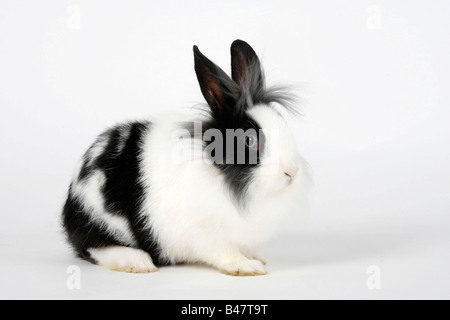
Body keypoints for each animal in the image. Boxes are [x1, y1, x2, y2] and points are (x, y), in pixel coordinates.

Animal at [61, 39, 312, 276]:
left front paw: (256, 257)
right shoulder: (204, 232)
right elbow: (224, 251)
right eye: (249, 141)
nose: (291, 172)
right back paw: (137, 262)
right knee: (93, 247)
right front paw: (247, 267)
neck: (220, 173)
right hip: (98, 219)